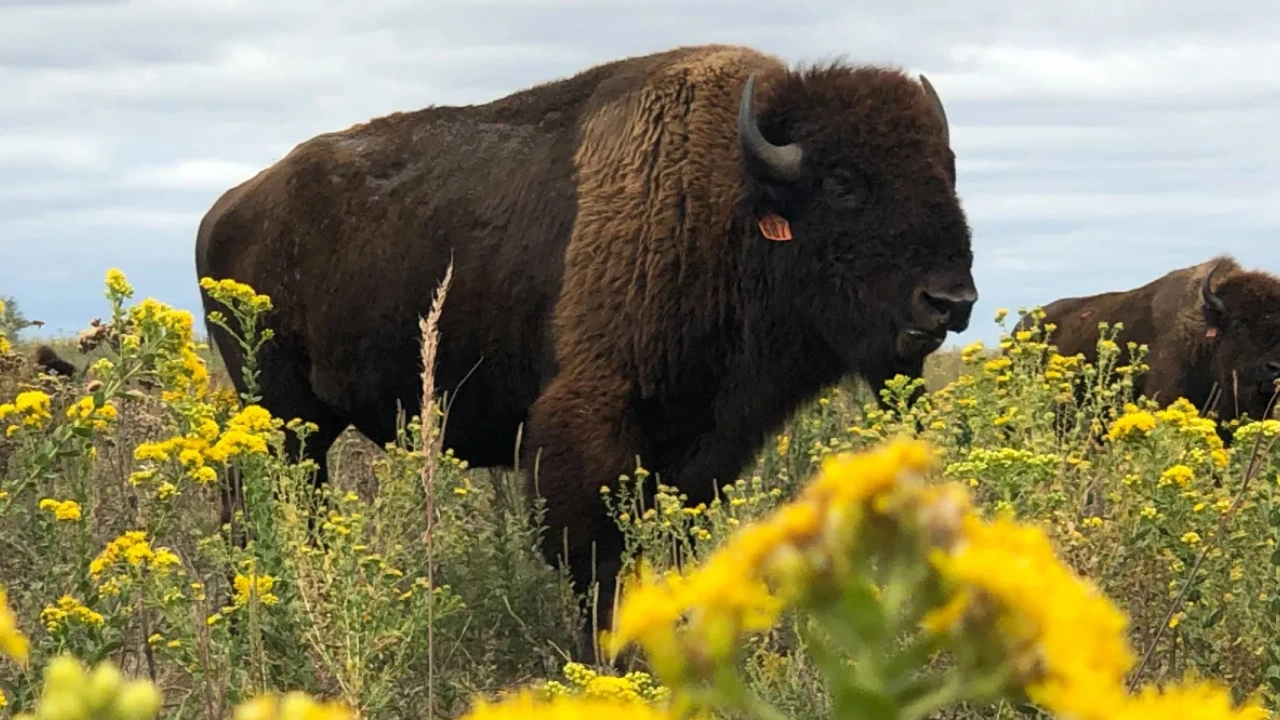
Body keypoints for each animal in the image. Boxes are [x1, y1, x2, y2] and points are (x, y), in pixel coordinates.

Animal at [195, 44, 977, 661]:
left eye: (947, 172)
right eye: (844, 184)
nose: (950, 301)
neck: (729, 205)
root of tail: (227, 208)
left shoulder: (699, 449)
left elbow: (668, 545)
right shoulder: (589, 427)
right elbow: (597, 559)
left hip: (305, 425)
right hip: (279, 414)